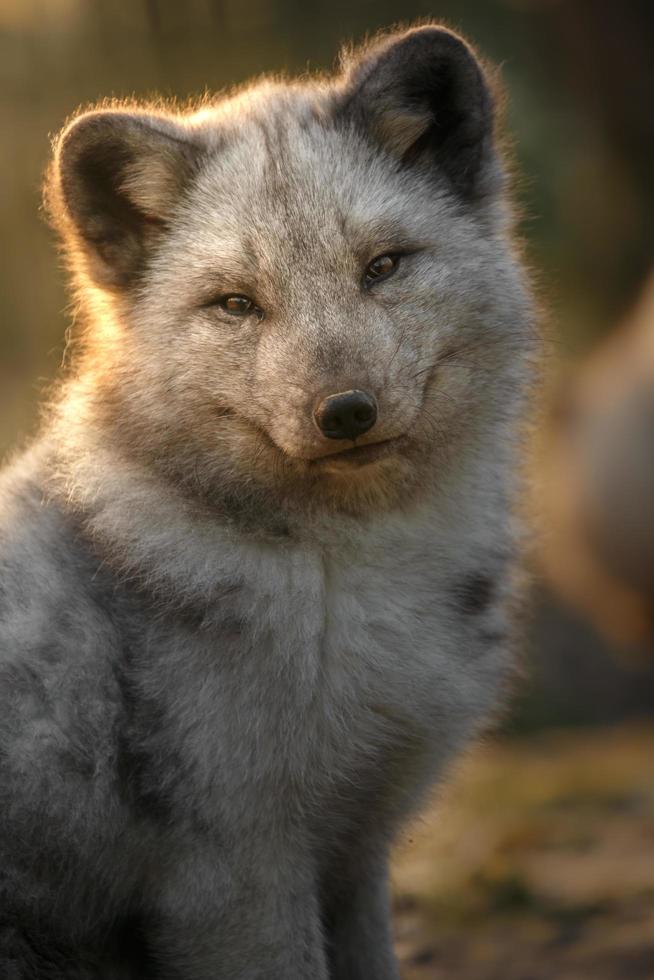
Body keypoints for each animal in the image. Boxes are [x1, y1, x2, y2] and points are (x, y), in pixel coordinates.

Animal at [0, 23, 536, 980]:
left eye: (383, 267)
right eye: (237, 305)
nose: (346, 413)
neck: (350, 578)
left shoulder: (356, 854)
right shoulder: (236, 875)